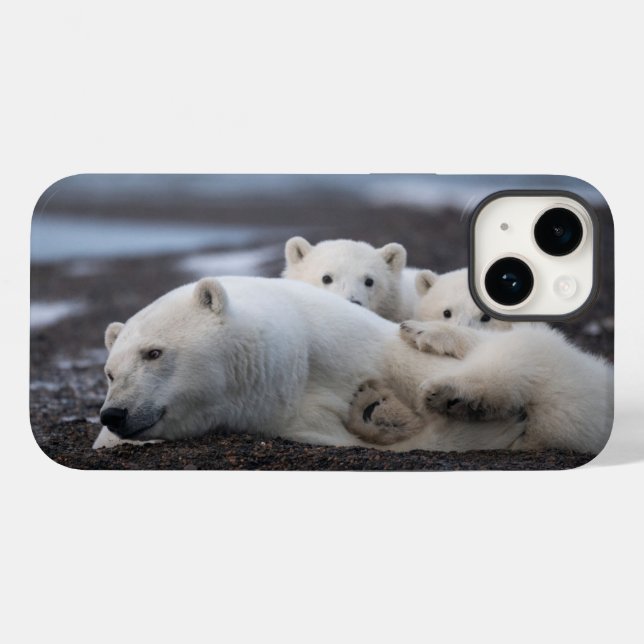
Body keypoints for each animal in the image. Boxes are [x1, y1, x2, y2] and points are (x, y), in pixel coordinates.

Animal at [95, 275, 613, 455]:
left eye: (154, 352)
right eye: (110, 372)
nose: (114, 413)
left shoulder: (345, 338)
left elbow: (547, 376)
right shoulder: (288, 417)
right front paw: (376, 411)